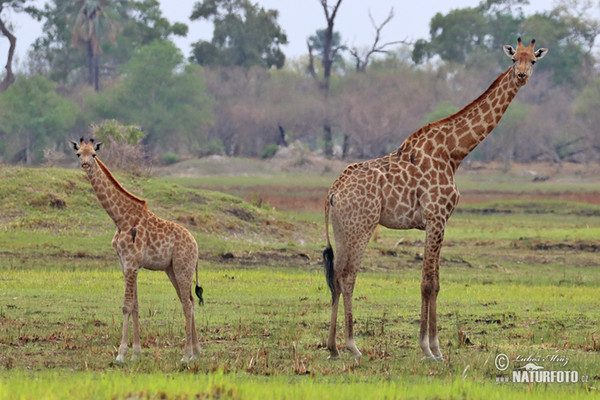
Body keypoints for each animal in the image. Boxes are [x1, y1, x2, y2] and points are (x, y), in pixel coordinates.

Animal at [324, 38, 548, 362]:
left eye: (533, 60)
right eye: (514, 58)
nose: (521, 76)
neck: (454, 152)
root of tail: (333, 190)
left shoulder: (441, 221)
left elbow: (437, 283)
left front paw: (437, 347)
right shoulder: (436, 217)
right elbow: (427, 283)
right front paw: (428, 348)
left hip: (342, 228)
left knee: (335, 277)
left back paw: (332, 347)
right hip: (361, 226)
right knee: (348, 276)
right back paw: (353, 345)